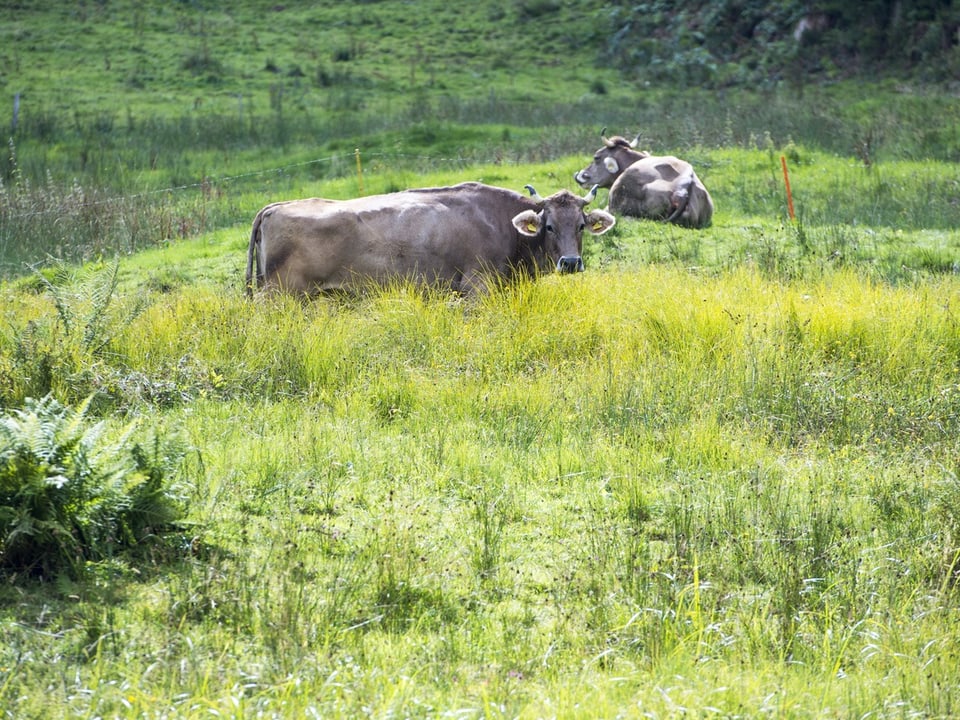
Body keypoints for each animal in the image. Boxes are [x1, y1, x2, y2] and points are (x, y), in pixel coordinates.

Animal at [248, 181, 616, 296]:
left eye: (581, 225)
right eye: (548, 226)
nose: (570, 263)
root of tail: (275, 206)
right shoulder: (477, 288)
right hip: (279, 294)